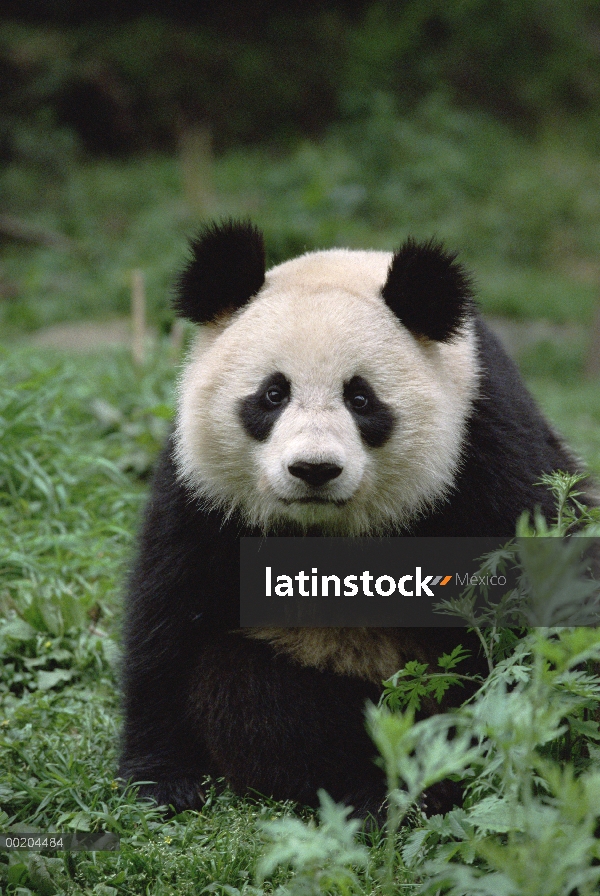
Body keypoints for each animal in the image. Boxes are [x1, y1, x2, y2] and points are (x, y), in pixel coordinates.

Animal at [118, 217, 596, 820]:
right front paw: (161, 780)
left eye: (361, 399)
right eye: (273, 394)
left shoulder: (485, 444)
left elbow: (549, 587)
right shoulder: (202, 488)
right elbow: (170, 613)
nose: (314, 469)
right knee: (258, 696)